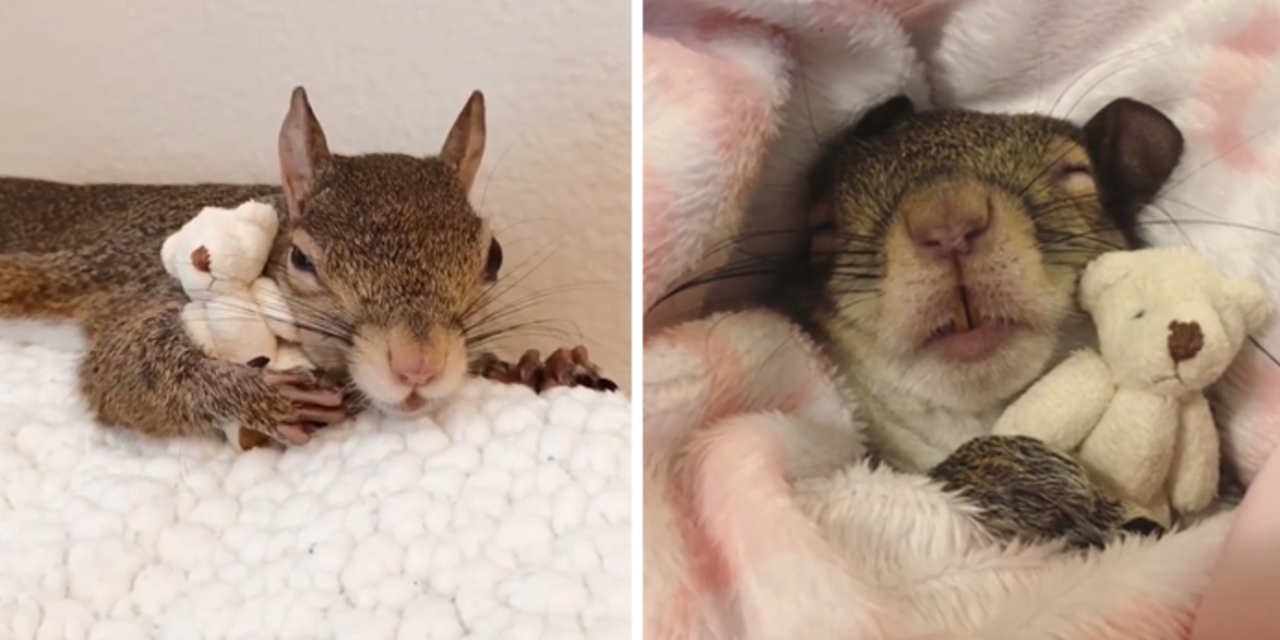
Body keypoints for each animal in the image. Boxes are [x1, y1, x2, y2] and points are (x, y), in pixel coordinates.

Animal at [0, 86, 619, 450]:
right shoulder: (140, 283)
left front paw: (541, 368)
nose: (418, 366)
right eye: (303, 259)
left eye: (494, 257)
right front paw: (256, 395)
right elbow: (121, 366)